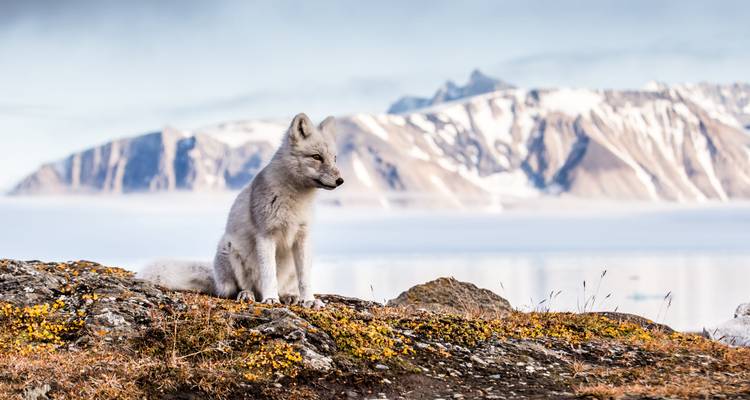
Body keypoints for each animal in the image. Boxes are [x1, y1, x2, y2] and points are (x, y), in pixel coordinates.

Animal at [139, 113, 343, 308]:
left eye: (334, 158)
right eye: (316, 157)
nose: (340, 181)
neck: (295, 199)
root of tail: (216, 278)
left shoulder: (302, 237)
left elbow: (305, 279)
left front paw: (309, 300)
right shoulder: (265, 235)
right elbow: (269, 274)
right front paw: (271, 299)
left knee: (285, 286)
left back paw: (289, 296)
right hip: (229, 251)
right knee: (234, 291)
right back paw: (248, 295)